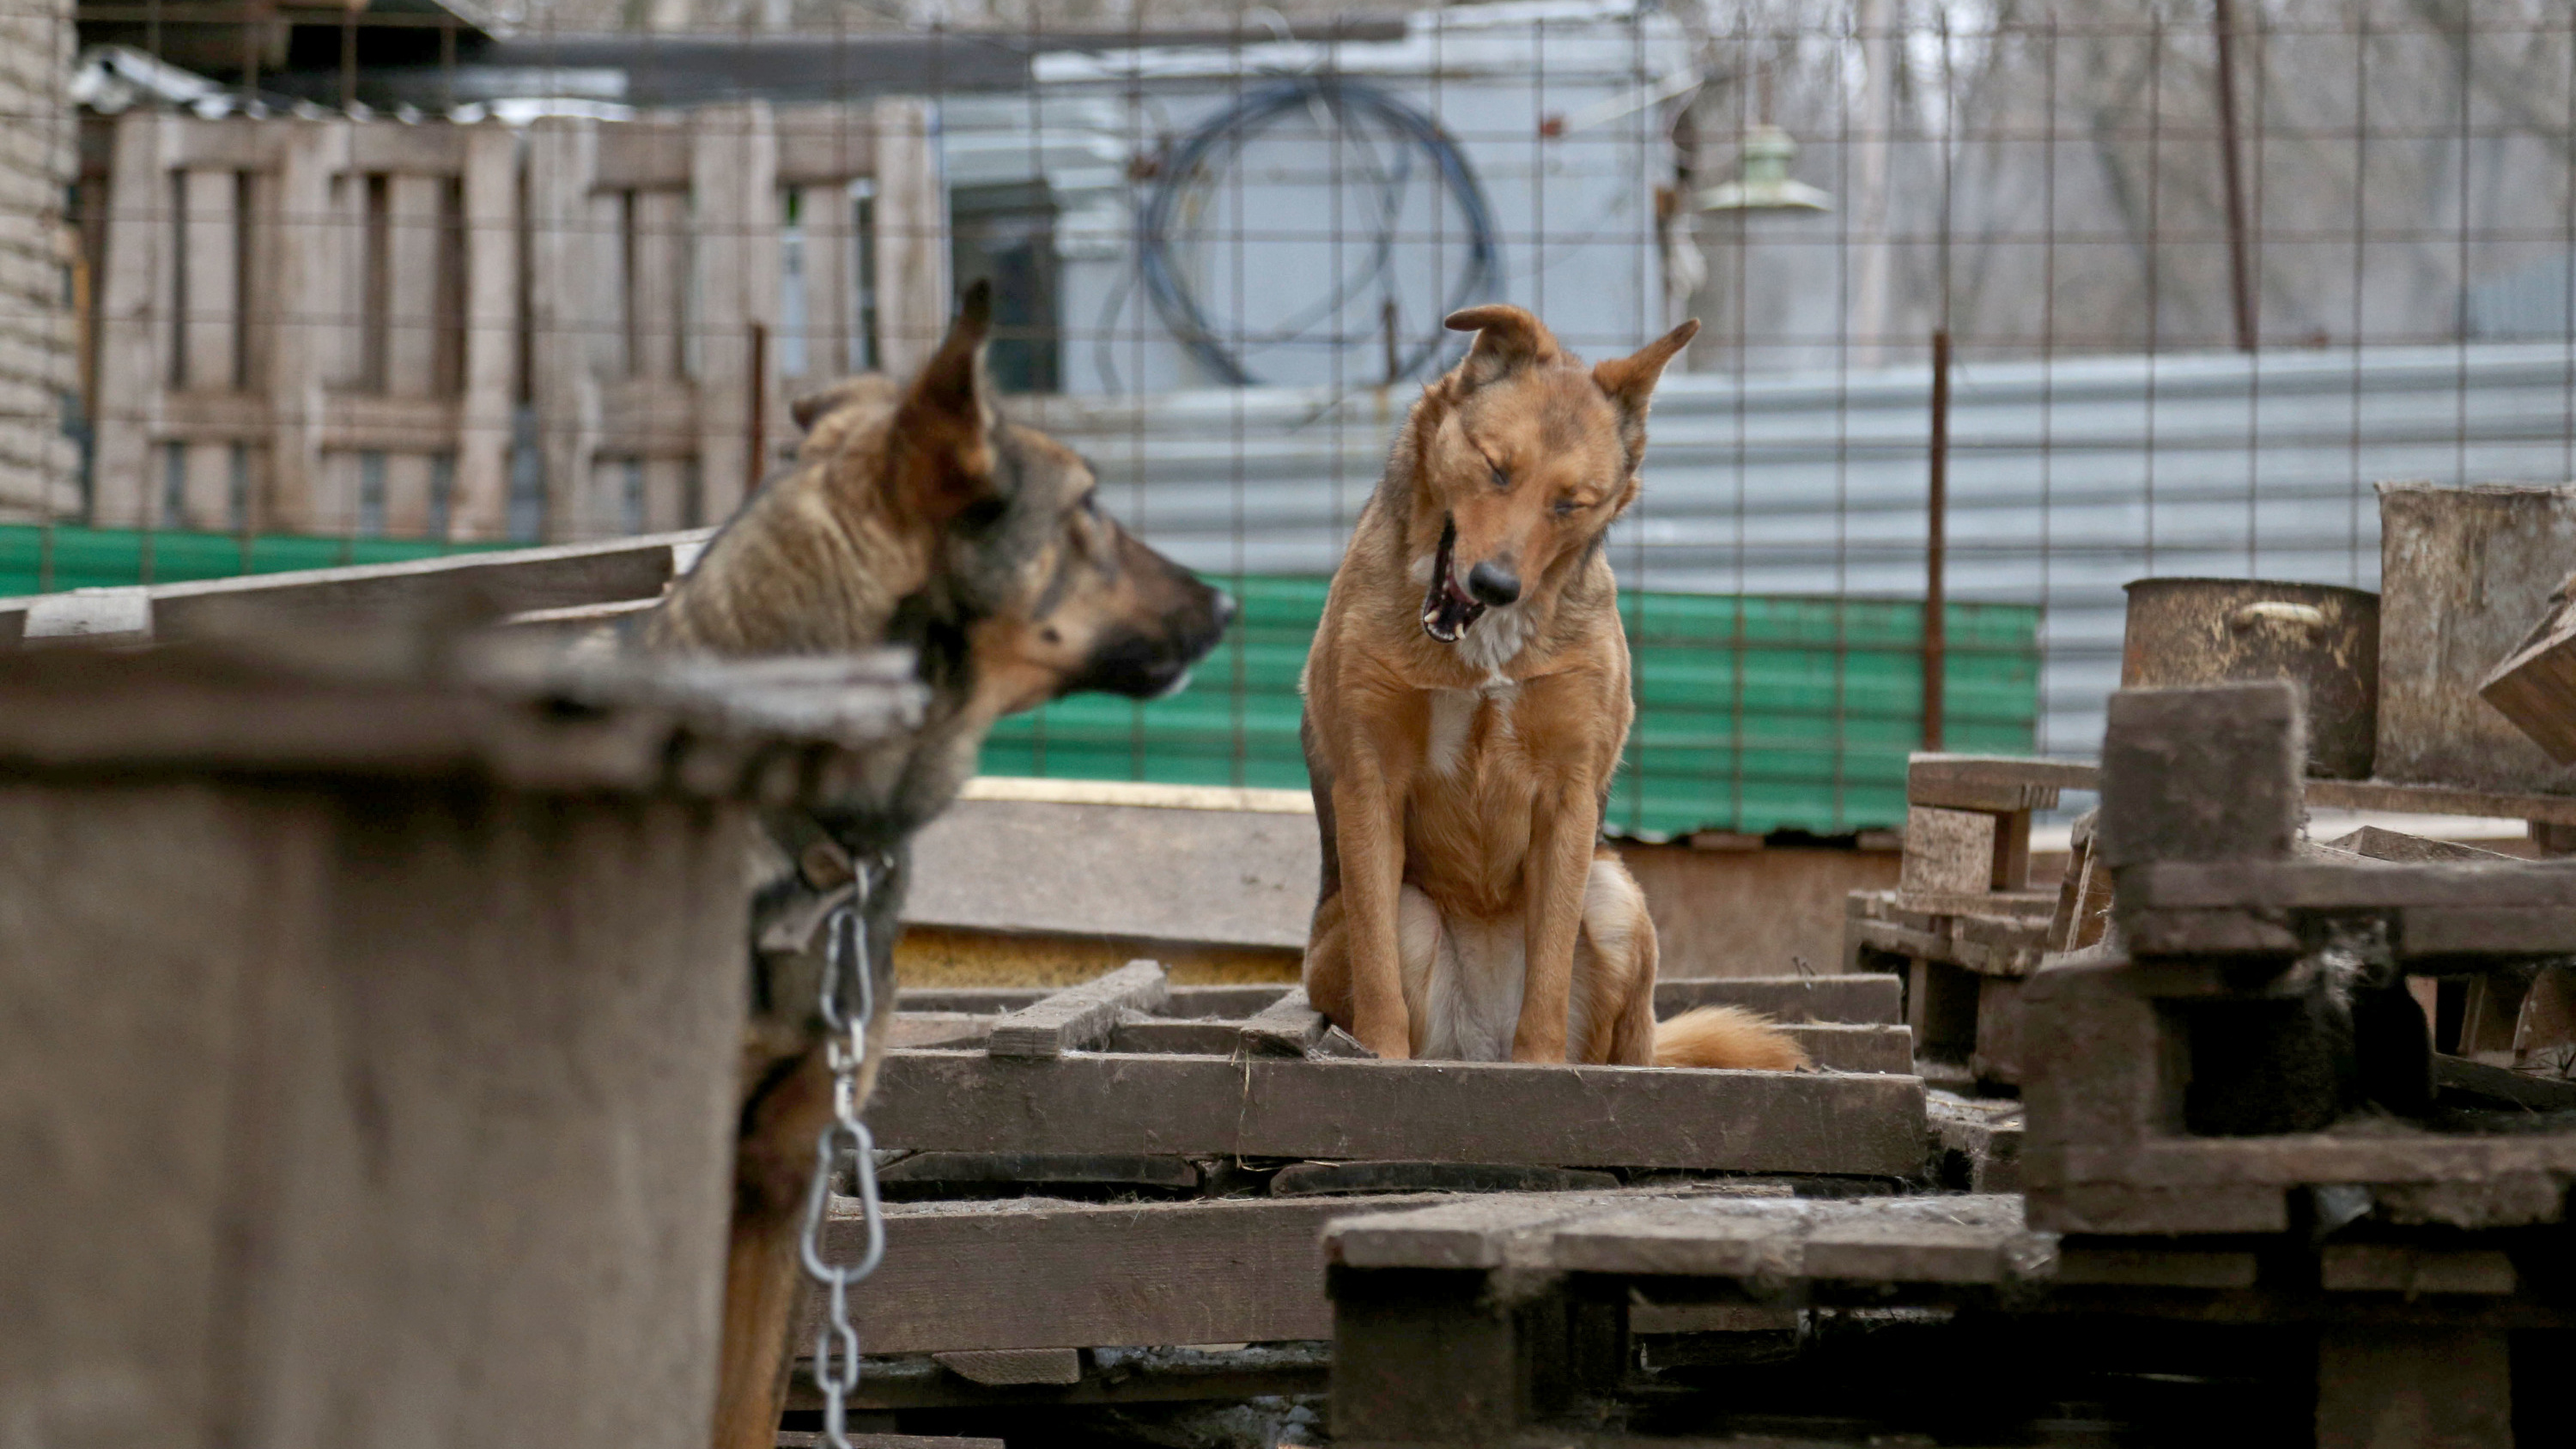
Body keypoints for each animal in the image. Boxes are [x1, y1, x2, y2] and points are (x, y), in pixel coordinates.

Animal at [1298, 306, 1803, 1070]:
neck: (1479, 648)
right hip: (1409, 916)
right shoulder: (1369, 781)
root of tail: (1477, 1044)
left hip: (1617, 897)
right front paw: (1379, 1056)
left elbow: (1550, 964)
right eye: (1494, 466)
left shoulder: (1569, 794)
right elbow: (1379, 967)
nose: (1495, 584)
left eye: (1571, 503)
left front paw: (1539, 1067)